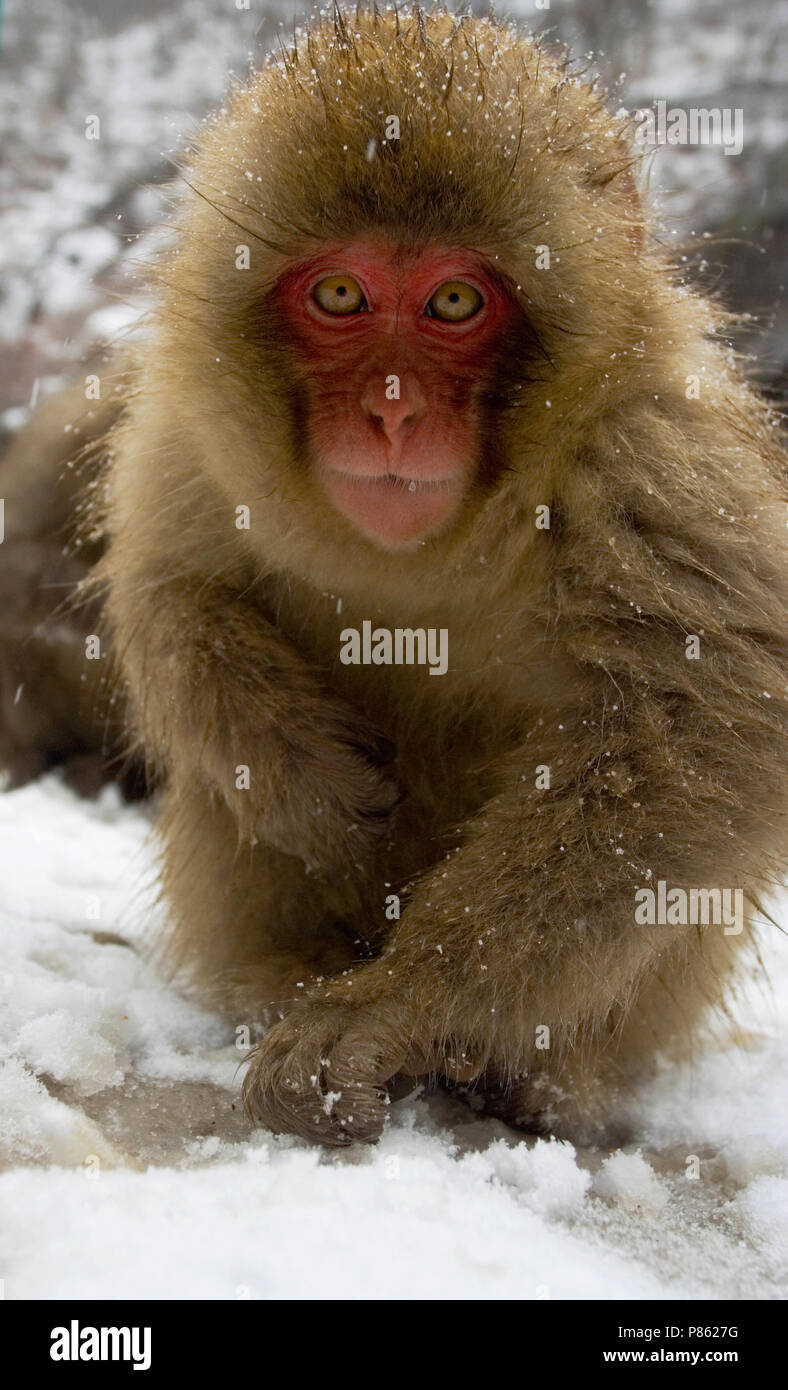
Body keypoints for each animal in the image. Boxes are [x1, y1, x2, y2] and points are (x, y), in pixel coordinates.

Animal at [1, 5, 788, 1145]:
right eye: (341, 293)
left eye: (454, 301)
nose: (390, 410)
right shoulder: (188, 418)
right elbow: (170, 588)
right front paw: (295, 771)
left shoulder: (653, 452)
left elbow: (698, 722)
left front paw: (388, 1012)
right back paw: (285, 977)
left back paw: (533, 1079)